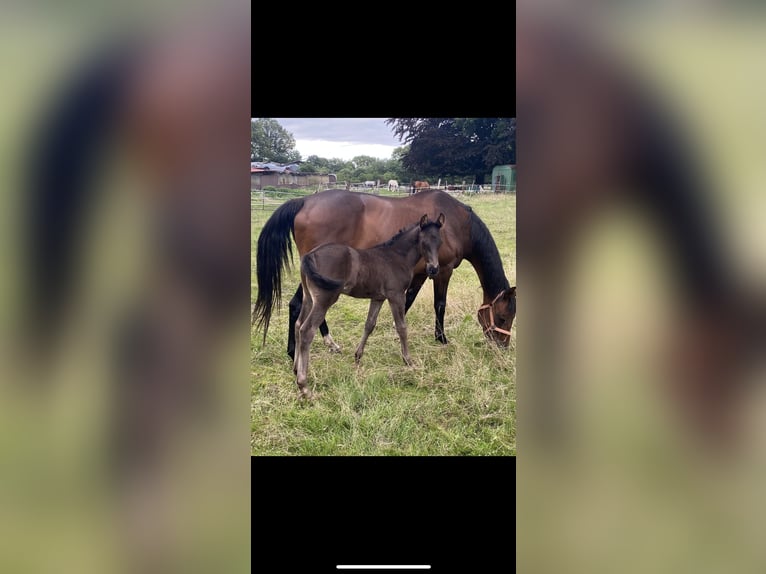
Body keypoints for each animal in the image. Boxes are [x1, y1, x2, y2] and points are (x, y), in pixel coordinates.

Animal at [254, 189, 516, 360]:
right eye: (503, 318)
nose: (502, 348)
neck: (457, 223)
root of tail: (305, 201)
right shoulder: (443, 270)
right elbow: (439, 304)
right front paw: (441, 338)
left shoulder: (420, 274)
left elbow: (407, 302)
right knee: (297, 305)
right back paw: (294, 352)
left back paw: (328, 344)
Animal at [296, 214, 450, 398]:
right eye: (424, 242)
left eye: (440, 241)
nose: (433, 269)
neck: (396, 257)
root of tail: (310, 255)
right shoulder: (396, 295)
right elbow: (401, 327)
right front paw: (408, 361)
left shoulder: (378, 298)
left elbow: (369, 324)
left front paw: (357, 356)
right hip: (324, 300)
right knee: (307, 330)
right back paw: (304, 387)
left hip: (308, 298)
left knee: (298, 324)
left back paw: (295, 369)